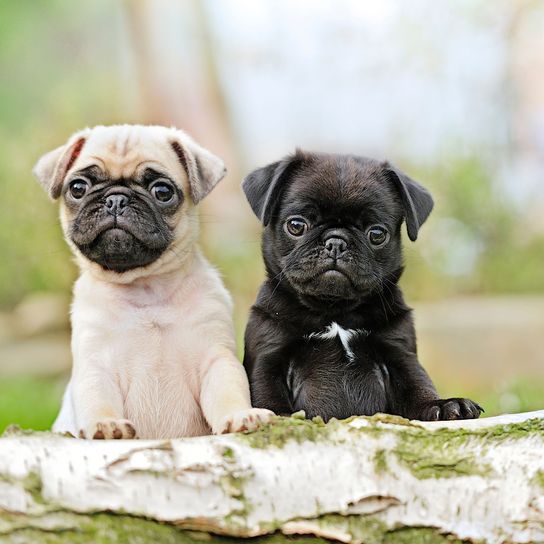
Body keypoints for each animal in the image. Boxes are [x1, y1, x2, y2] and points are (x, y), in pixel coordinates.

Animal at [34, 125, 272, 440]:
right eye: (78, 188)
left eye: (162, 191)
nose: (116, 199)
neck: (146, 288)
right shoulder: (96, 366)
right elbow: (98, 399)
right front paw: (105, 424)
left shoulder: (216, 359)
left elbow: (227, 393)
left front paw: (240, 415)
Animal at [242, 151, 484, 422]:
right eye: (296, 225)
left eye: (376, 234)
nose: (336, 241)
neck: (334, 310)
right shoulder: (270, 355)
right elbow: (268, 392)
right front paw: (278, 417)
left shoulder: (400, 354)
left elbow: (418, 386)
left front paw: (443, 405)